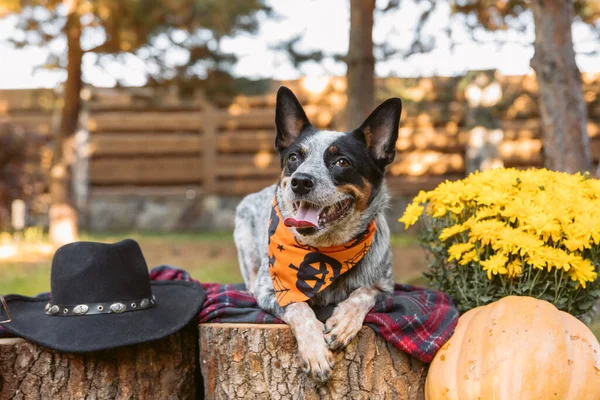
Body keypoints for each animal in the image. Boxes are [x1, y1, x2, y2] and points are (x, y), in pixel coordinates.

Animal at [234, 86, 404, 382]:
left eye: (342, 162)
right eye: (294, 157)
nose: (300, 181)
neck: (324, 249)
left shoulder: (386, 288)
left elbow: (364, 292)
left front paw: (344, 321)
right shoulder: (270, 290)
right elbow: (298, 307)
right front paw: (315, 352)